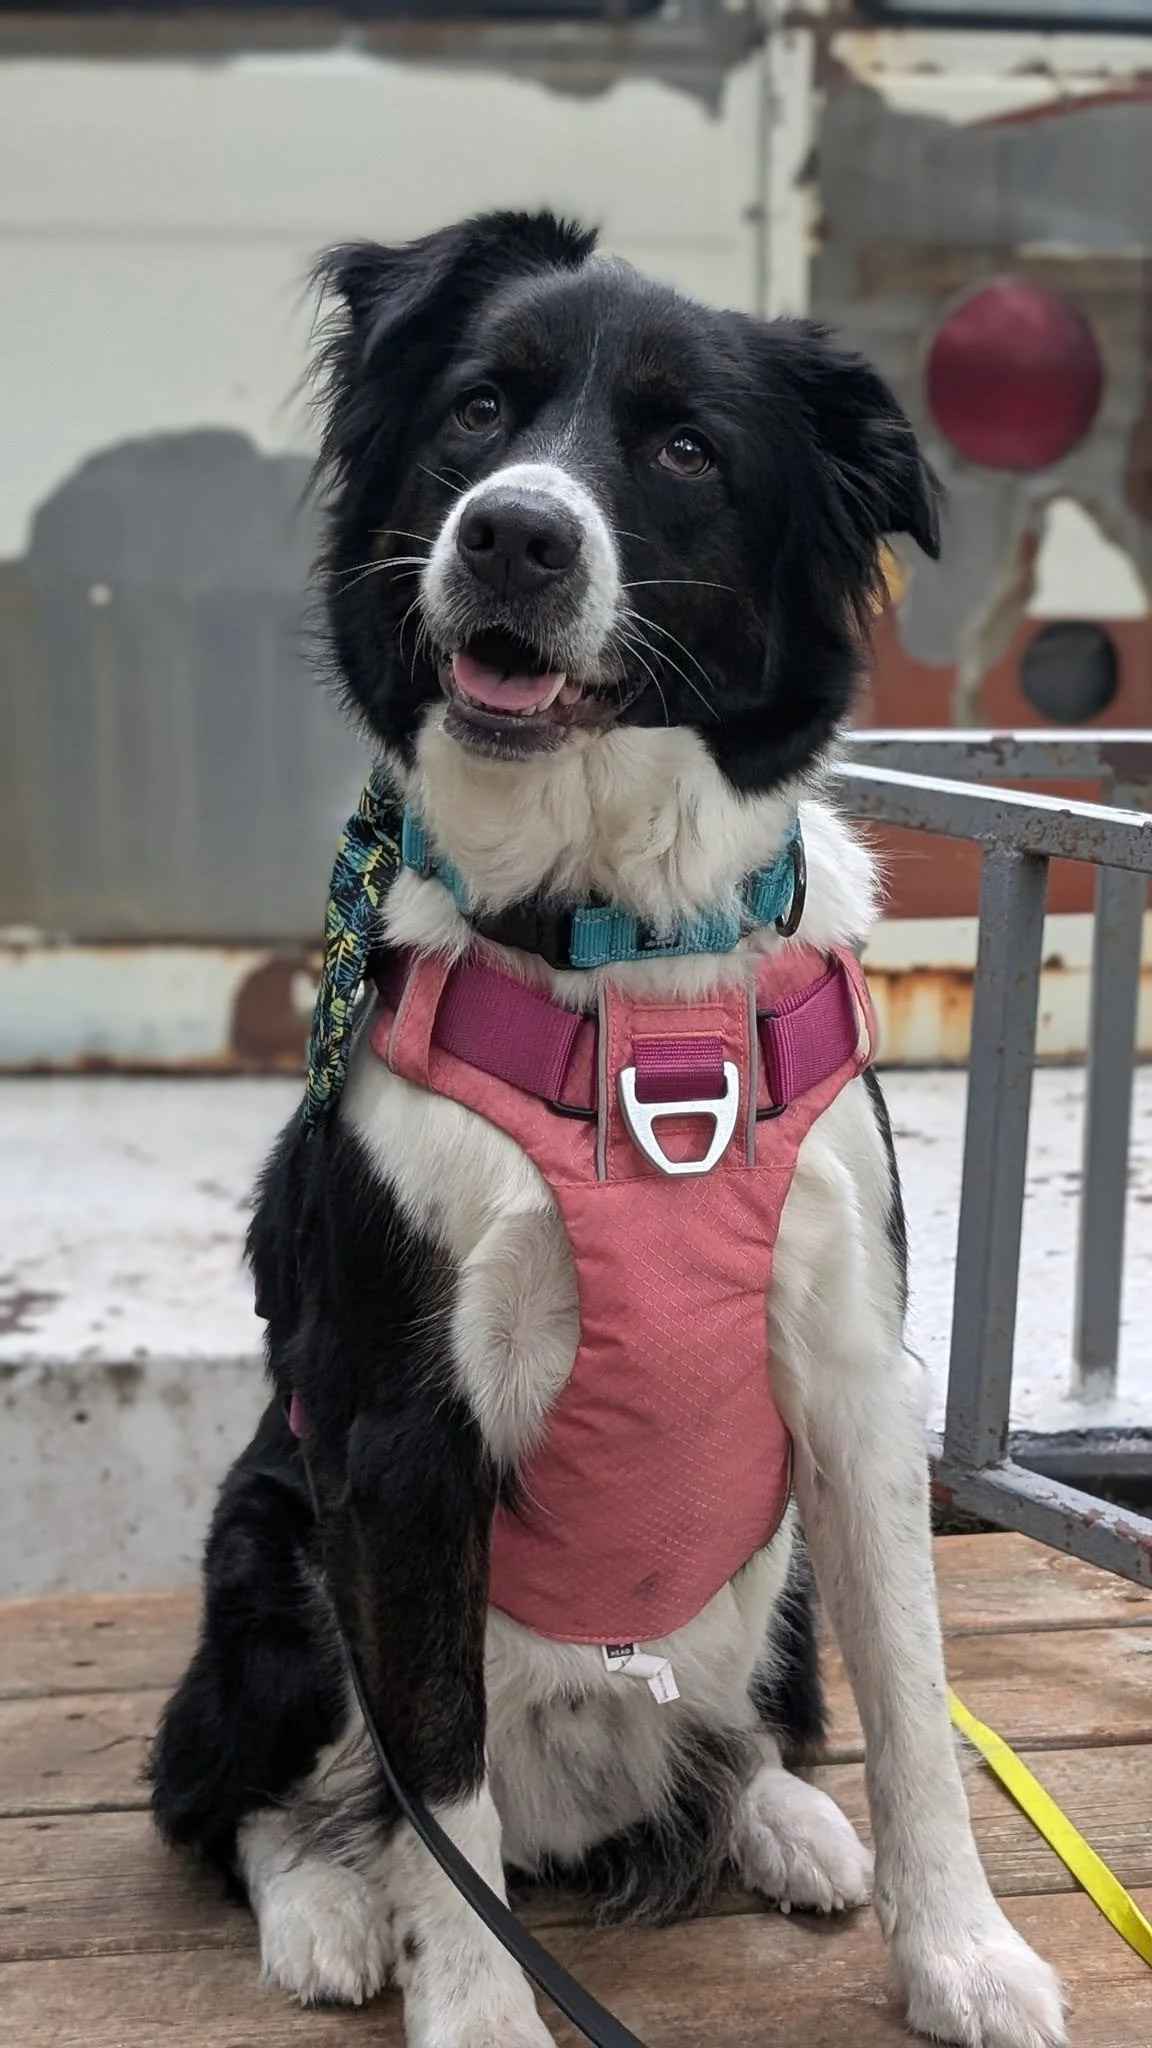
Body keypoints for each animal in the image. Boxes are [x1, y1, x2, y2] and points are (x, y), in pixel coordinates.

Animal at [150, 211, 1066, 2048]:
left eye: (687, 449)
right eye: (476, 409)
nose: (511, 532)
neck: (615, 953)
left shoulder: (856, 1385)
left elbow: (915, 1700)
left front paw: (961, 1953)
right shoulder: (394, 1435)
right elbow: (438, 1790)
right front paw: (478, 2010)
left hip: (765, 1577)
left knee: (753, 1728)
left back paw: (782, 1818)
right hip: (274, 1545)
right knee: (253, 1799)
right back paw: (326, 1915)